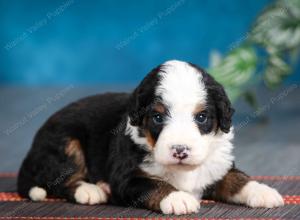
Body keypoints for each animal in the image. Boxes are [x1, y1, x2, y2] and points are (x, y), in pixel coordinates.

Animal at [17, 60, 284, 215]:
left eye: (201, 117)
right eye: (157, 117)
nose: (180, 150)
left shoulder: (217, 167)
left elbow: (237, 178)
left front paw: (263, 192)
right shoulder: (126, 178)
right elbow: (154, 184)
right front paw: (178, 197)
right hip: (66, 142)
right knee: (61, 180)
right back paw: (92, 190)